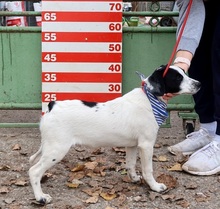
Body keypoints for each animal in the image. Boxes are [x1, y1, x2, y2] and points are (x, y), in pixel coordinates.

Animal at [28, 64, 200, 203]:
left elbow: (130, 164)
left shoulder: (132, 145)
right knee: (34, 171)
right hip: (57, 149)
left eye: (184, 73)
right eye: (177, 77)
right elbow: (148, 170)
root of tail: (52, 106)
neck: (150, 100)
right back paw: (41, 197)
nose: (199, 83)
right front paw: (155, 187)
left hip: (48, 146)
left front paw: (134, 178)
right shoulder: (146, 145)